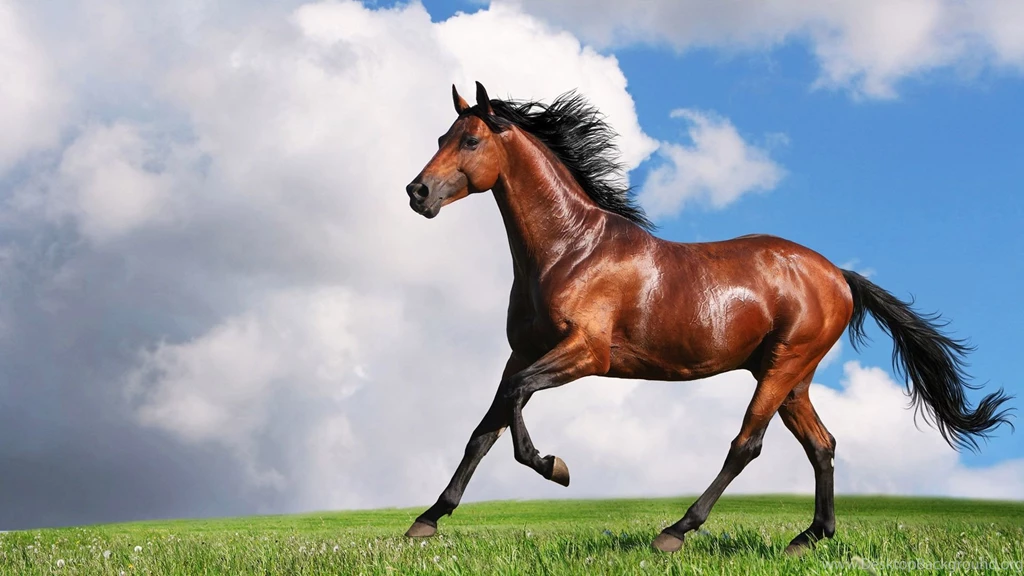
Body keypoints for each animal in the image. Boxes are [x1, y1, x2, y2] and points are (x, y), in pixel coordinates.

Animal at [400, 81, 1014, 554]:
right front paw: (426, 521)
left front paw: (555, 466)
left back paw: (676, 531)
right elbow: (485, 428)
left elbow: (516, 405)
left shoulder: (585, 354)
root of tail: (838, 274)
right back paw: (808, 538)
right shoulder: (521, 352)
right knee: (822, 444)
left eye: (471, 139)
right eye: (441, 138)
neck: (569, 250)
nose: (417, 191)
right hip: (792, 377)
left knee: (747, 443)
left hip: (783, 367)